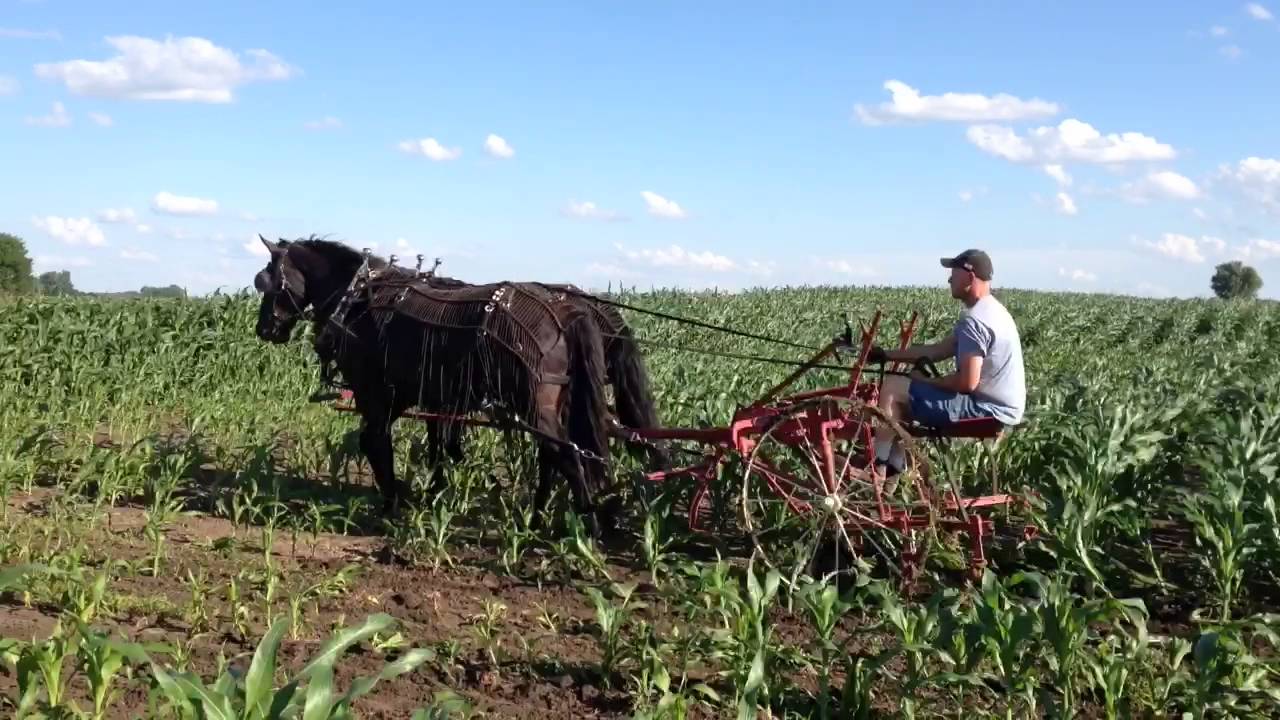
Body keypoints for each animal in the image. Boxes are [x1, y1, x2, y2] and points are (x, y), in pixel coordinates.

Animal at [251, 235, 621, 536]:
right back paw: (536, 518)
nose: (264, 329)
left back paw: (586, 527)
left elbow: (375, 443)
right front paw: (424, 496)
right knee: (552, 456)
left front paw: (392, 505)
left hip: (534, 404)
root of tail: (563, 313)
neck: (358, 299)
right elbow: (429, 447)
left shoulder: (374, 393)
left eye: (269, 281)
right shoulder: (406, 396)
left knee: (566, 454)